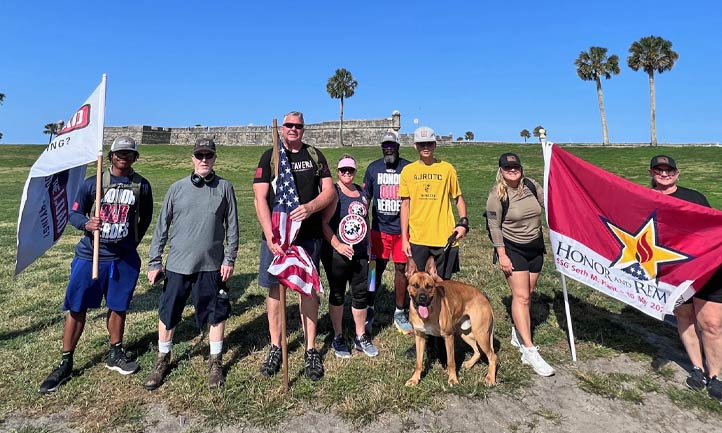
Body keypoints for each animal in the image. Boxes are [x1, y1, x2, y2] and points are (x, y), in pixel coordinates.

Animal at [404, 255, 496, 386]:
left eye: (429, 286)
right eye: (415, 285)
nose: (422, 298)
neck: (429, 313)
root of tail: (484, 298)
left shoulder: (448, 336)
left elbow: (451, 362)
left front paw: (453, 379)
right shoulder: (420, 336)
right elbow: (418, 362)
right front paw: (414, 379)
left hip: (481, 334)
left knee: (492, 356)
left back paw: (490, 378)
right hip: (465, 333)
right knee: (478, 351)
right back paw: (468, 364)